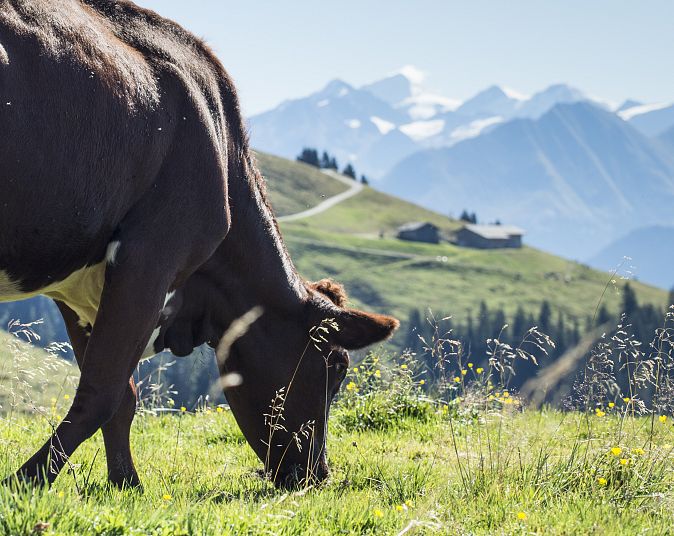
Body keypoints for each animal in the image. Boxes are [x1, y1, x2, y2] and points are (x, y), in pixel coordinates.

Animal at [0, 0, 398, 488]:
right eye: (337, 367)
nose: (316, 474)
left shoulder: (78, 286)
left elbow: (122, 396)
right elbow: (103, 391)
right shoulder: (150, 257)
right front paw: (24, 484)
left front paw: (125, 483)